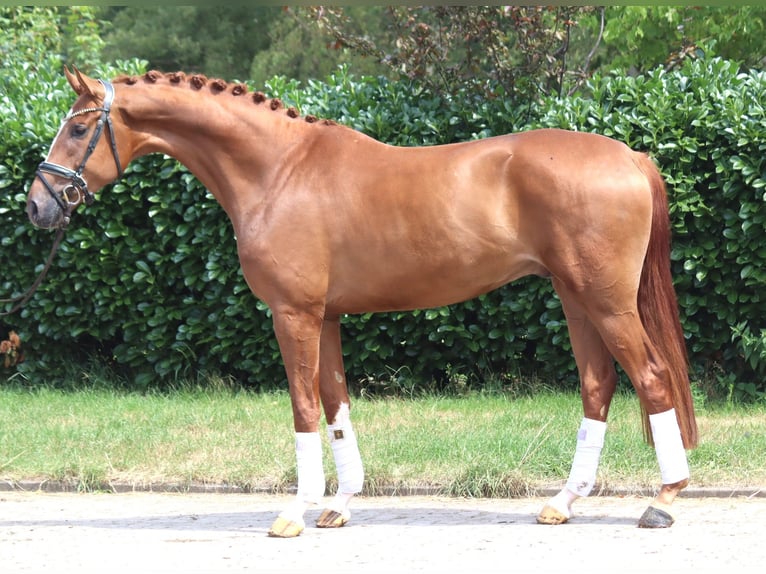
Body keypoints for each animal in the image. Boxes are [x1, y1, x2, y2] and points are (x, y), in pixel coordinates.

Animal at [27, 67, 698, 537]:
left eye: (80, 127)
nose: (37, 206)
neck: (278, 170)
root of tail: (631, 155)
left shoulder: (292, 315)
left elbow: (302, 407)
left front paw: (295, 512)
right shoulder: (323, 317)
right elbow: (335, 405)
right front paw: (340, 505)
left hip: (606, 300)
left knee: (651, 377)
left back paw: (663, 501)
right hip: (576, 297)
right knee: (598, 385)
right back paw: (562, 502)